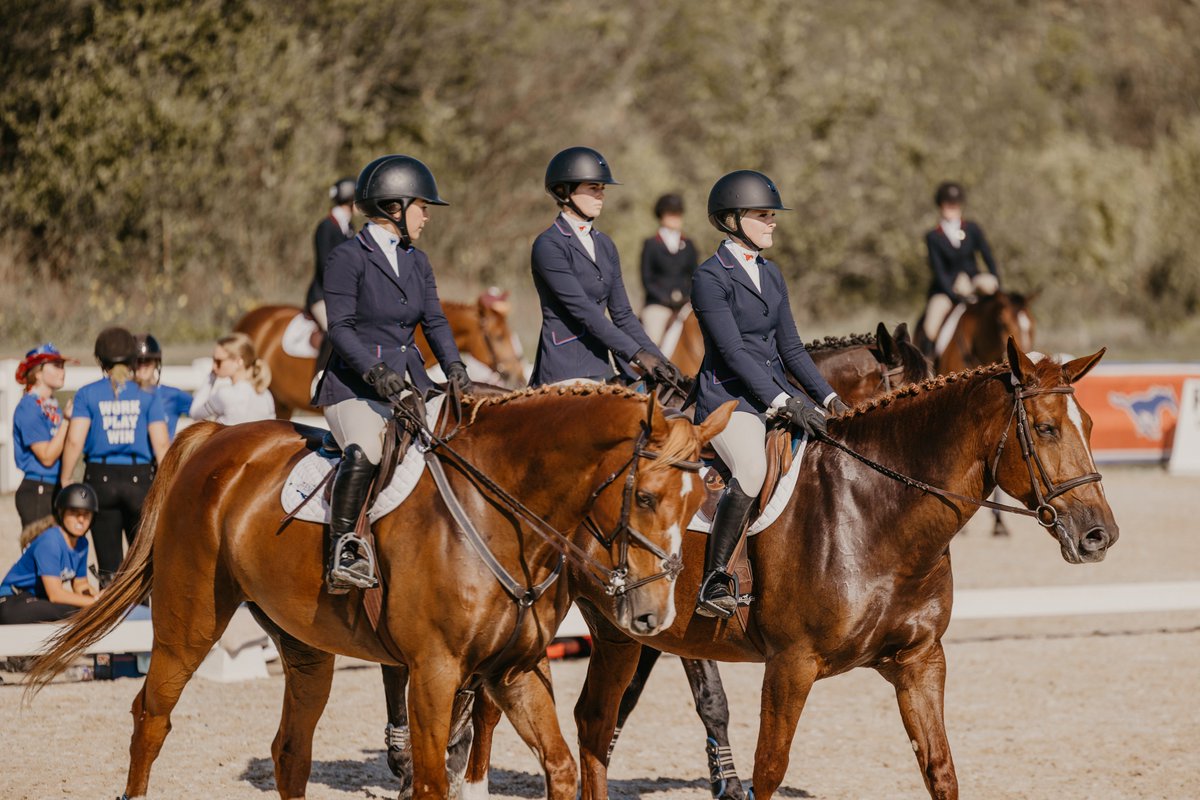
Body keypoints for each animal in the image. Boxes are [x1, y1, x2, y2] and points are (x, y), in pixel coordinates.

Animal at [28, 386, 734, 800]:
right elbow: (431, 782)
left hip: (303, 646)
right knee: (152, 717)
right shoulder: (434, 672)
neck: (501, 513)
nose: (654, 614)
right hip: (190, 621)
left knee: (291, 750)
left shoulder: (514, 672)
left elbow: (560, 768)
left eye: (700, 501)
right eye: (647, 498)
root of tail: (217, 438)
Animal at [460, 340, 1113, 800]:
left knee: (593, 725)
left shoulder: (920, 661)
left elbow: (940, 768)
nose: (1098, 534)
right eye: (1046, 429)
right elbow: (767, 770)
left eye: (1089, 426)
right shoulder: (791, 665)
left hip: (621, 634)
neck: (873, 509)